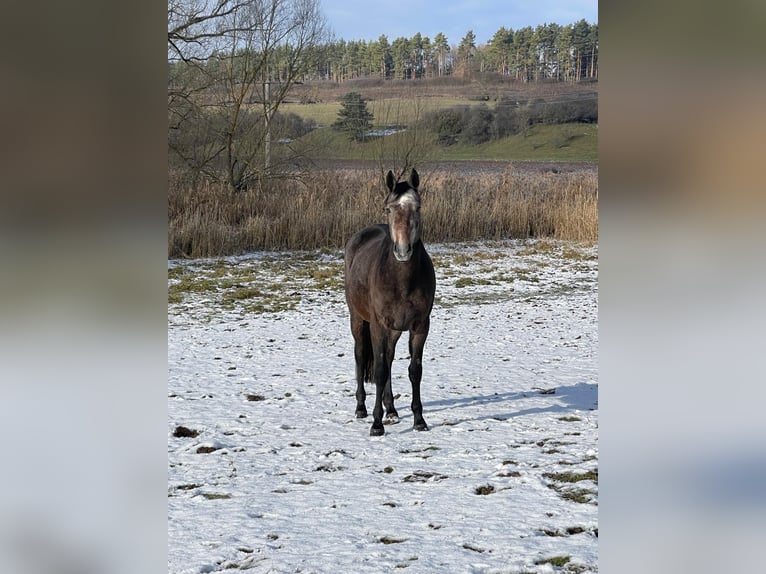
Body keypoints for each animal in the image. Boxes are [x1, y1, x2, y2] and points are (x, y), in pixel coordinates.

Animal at [343, 168, 436, 436]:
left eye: (418, 207)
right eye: (389, 208)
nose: (403, 251)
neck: (401, 280)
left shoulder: (420, 326)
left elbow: (414, 370)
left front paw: (419, 420)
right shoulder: (378, 326)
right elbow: (379, 370)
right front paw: (376, 424)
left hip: (394, 330)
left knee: (390, 357)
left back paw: (392, 410)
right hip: (358, 320)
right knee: (361, 355)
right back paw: (361, 408)